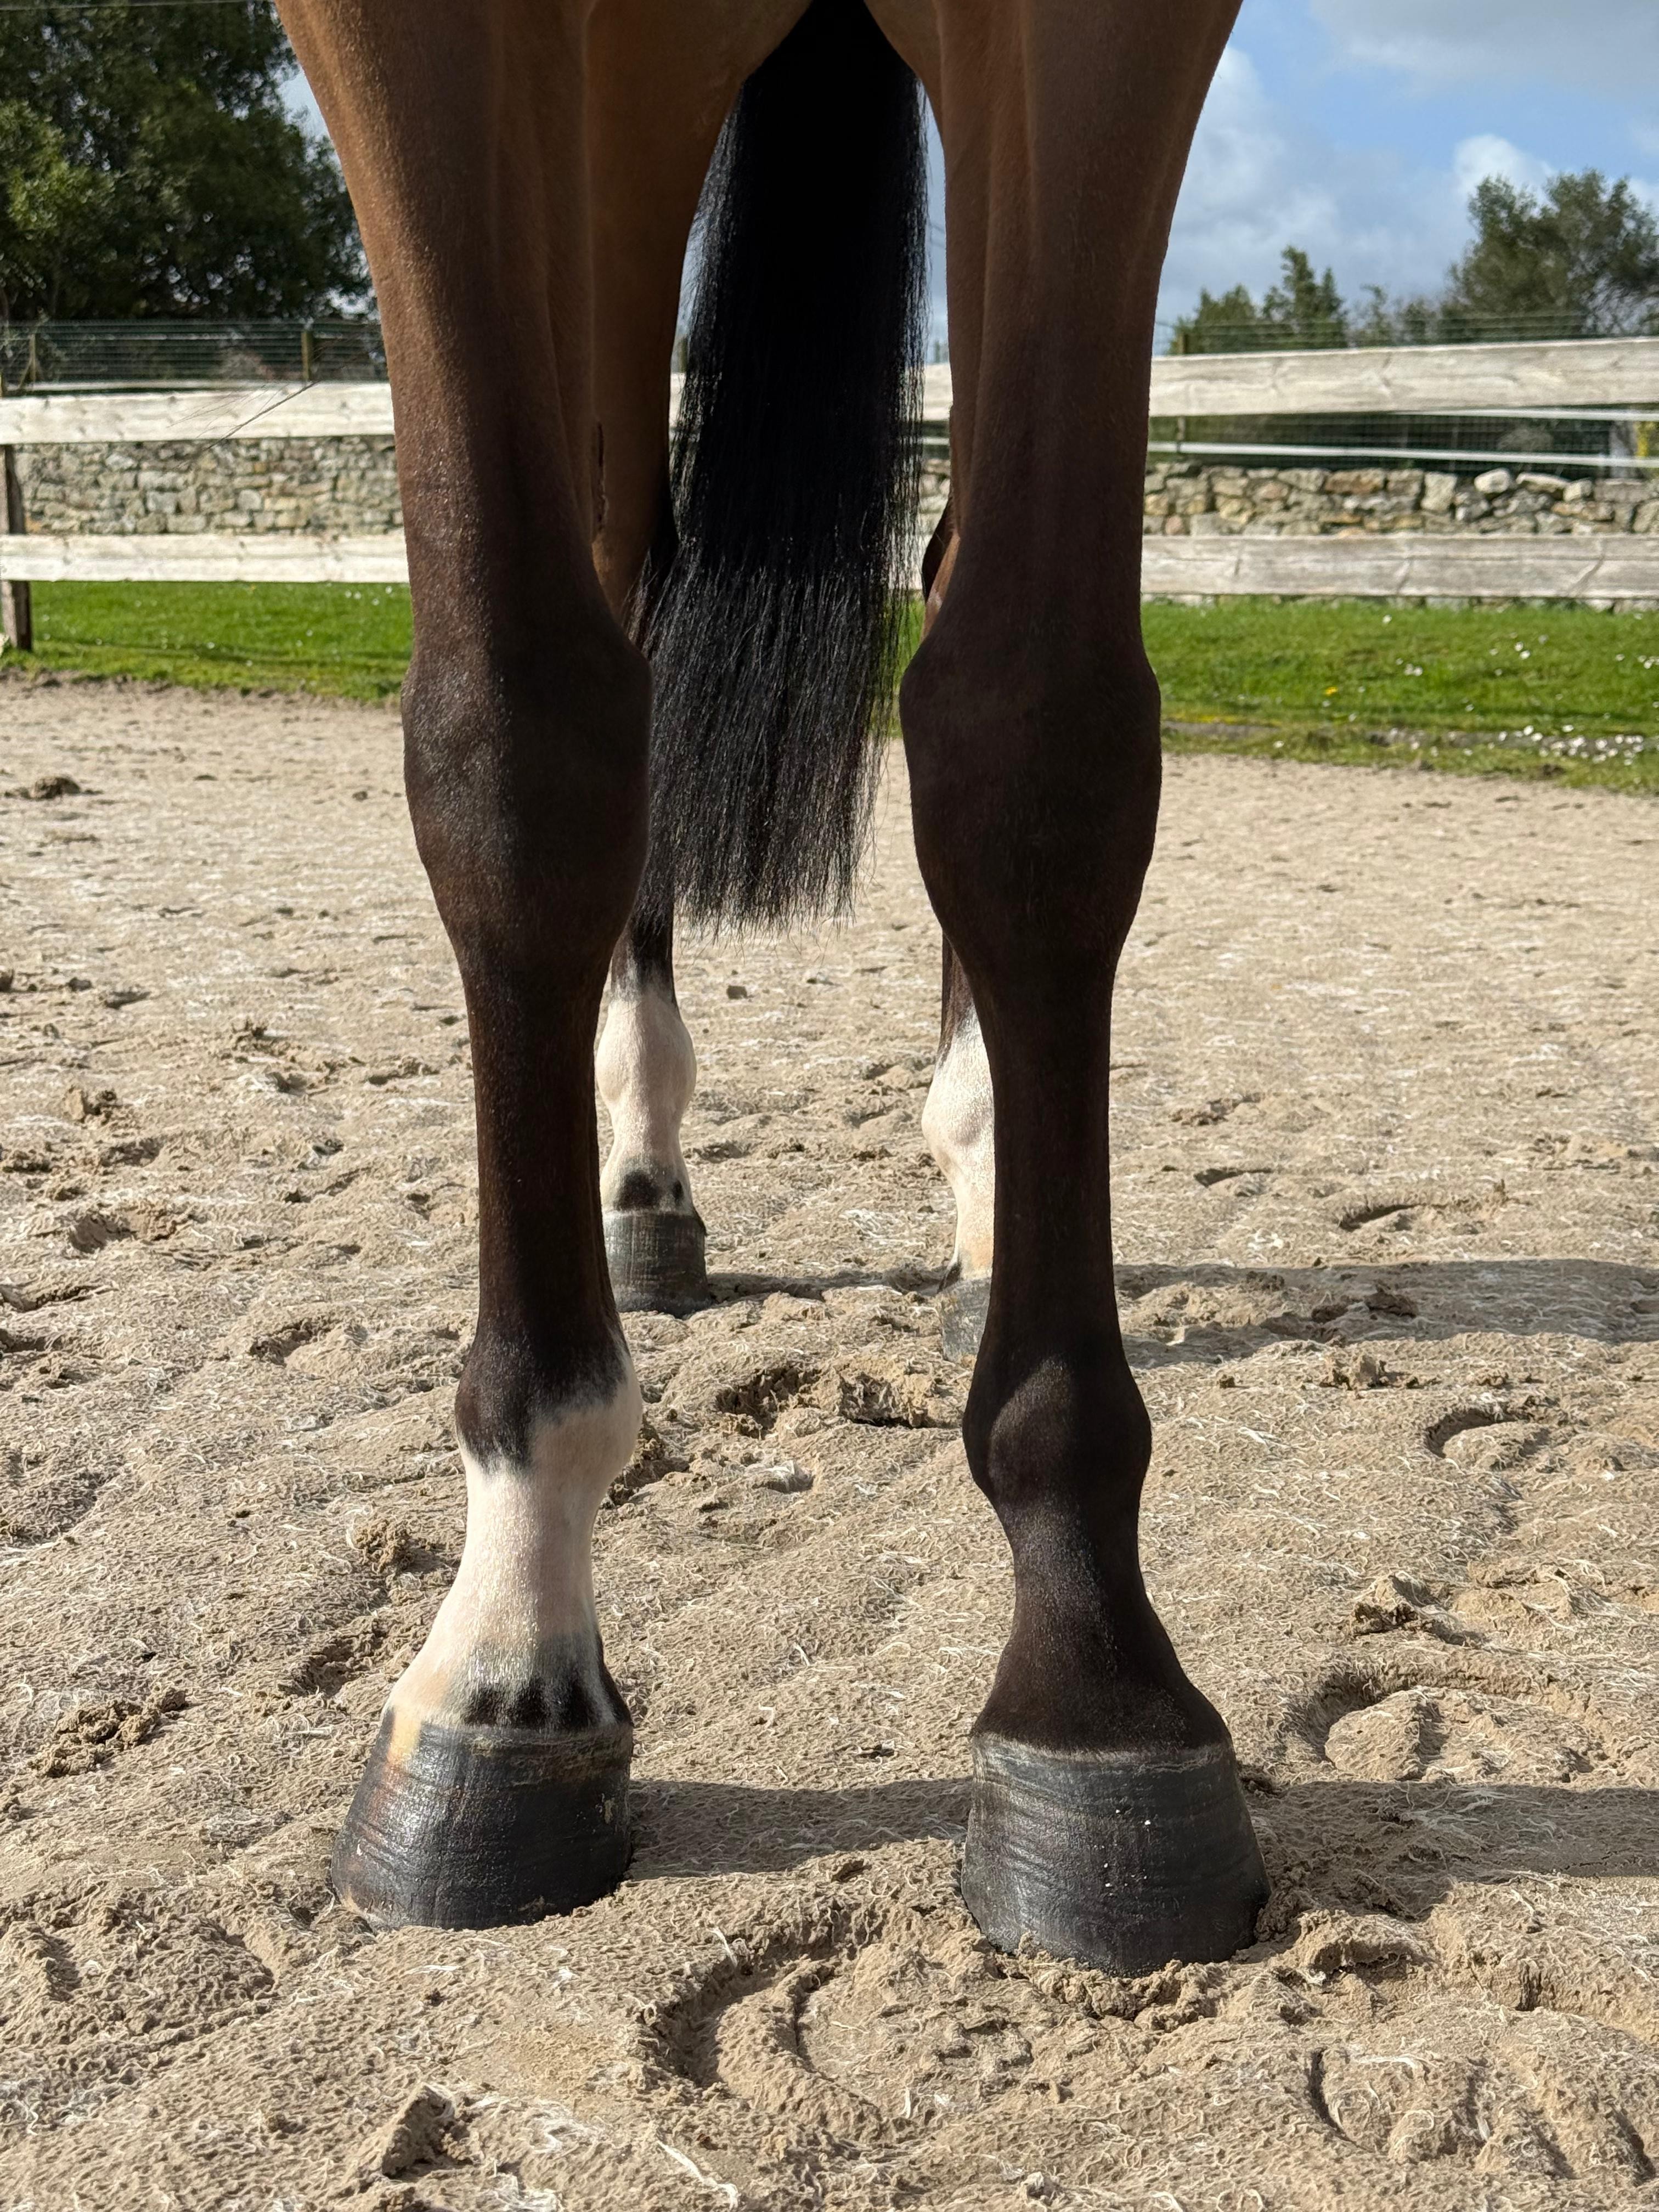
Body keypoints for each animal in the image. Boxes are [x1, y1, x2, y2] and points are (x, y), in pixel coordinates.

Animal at [275, 0, 1266, 1972]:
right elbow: (515, 734)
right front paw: (507, 1659)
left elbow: (1034, 733)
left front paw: (1093, 1683)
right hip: (625, 108)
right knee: (614, 583)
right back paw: (643, 1172)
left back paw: (974, 1184)